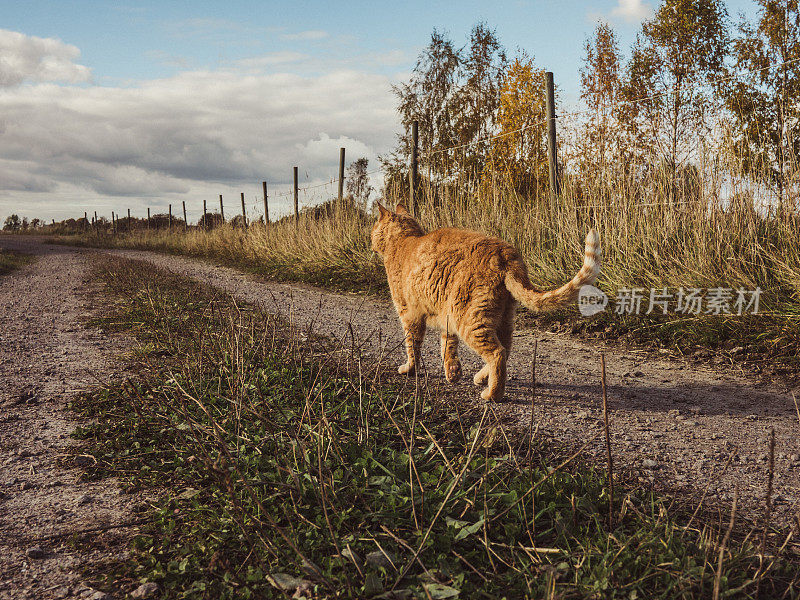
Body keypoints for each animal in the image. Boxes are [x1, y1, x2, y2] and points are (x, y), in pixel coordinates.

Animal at [370, 203, 600, 404]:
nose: (370, 240)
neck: (403, 241)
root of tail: (504, 252)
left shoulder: (410, 315)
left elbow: (412, 346)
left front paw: (409, 369)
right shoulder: (446, 318)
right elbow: (448, 346)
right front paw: (453, 373)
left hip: (469, 319)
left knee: (497, 353)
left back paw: (492, 394)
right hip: (501, 317)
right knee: (506, 348)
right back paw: (482, 378)